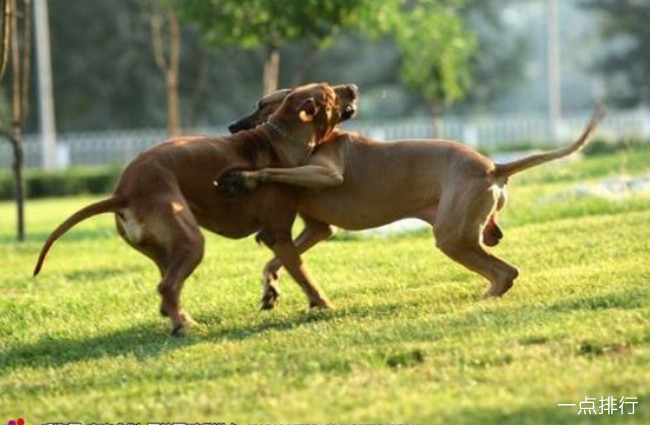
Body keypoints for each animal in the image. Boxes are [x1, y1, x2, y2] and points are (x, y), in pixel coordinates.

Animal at [33, 83, 356, 334]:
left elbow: (280, 263)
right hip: (191, 242)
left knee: (167, 288)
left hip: (167, 250)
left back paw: (180, 318)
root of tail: (123, 192)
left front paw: (273, 289)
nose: (353, 87)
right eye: (329, 92)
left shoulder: (313, 228)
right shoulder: (277, 234)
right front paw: (323, 304)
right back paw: (183, 326)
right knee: (167, 288)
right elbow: (304, 275)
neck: (280, 138)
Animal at [221, 96, 604, 308]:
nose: (232, 127)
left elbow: (274, 172)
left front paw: (244, 178)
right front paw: (270, 288)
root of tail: (494, 166)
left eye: (262, 104)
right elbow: (274, 261)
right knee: (500, 261)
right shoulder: (318, 229)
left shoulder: (326, 174)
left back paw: (484, 297)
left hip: (452, 236)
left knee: (505, 272)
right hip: (467, 229)